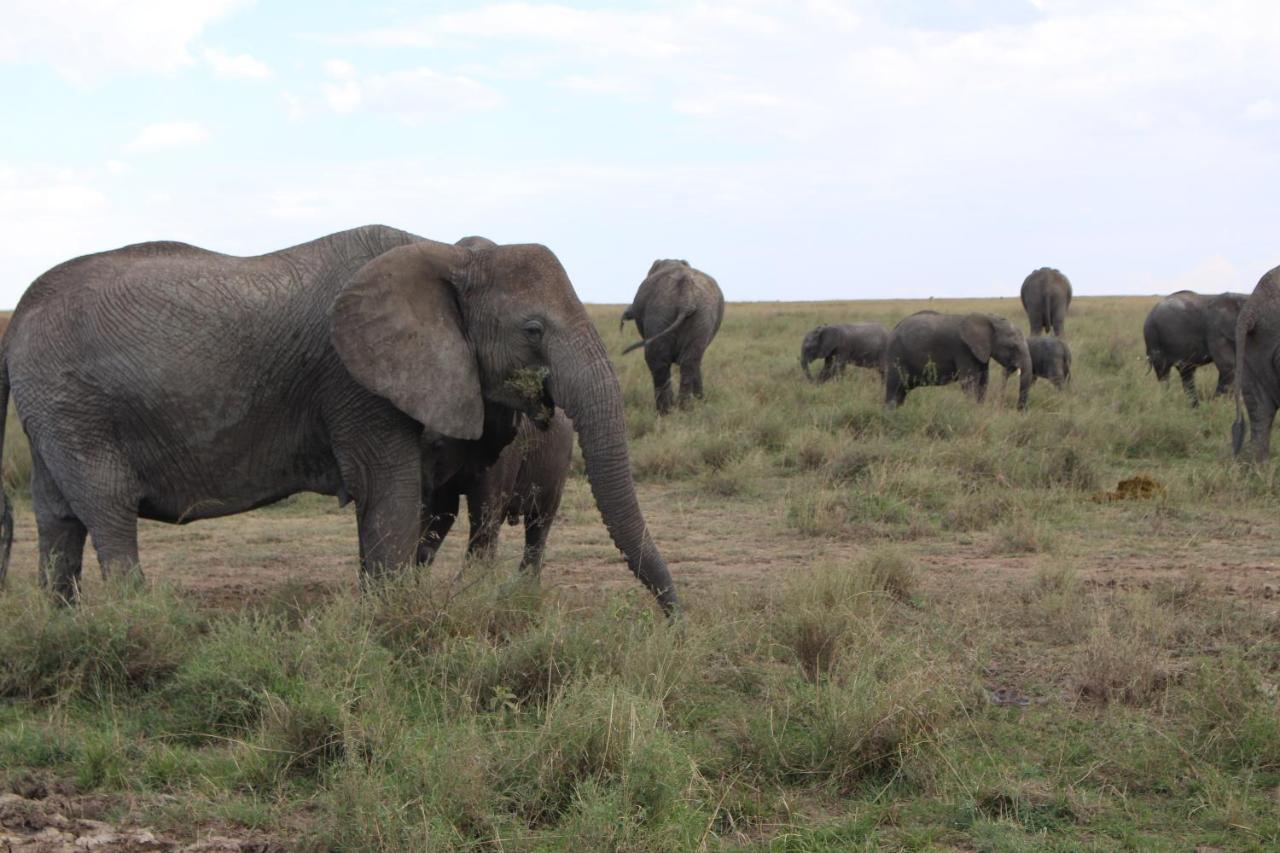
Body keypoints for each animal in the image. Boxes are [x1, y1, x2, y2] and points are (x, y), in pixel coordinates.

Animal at [885, 308, 1034, 409]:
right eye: (1012, 347)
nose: (1019, 410)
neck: (988, 318)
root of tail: (894, 328)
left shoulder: (981, 352)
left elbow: (984, 381)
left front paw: (980, 410)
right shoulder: (963, 349)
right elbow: (969, 381)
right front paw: (973, 411)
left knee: (901, 391)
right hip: (896, 355)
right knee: (894, 388)